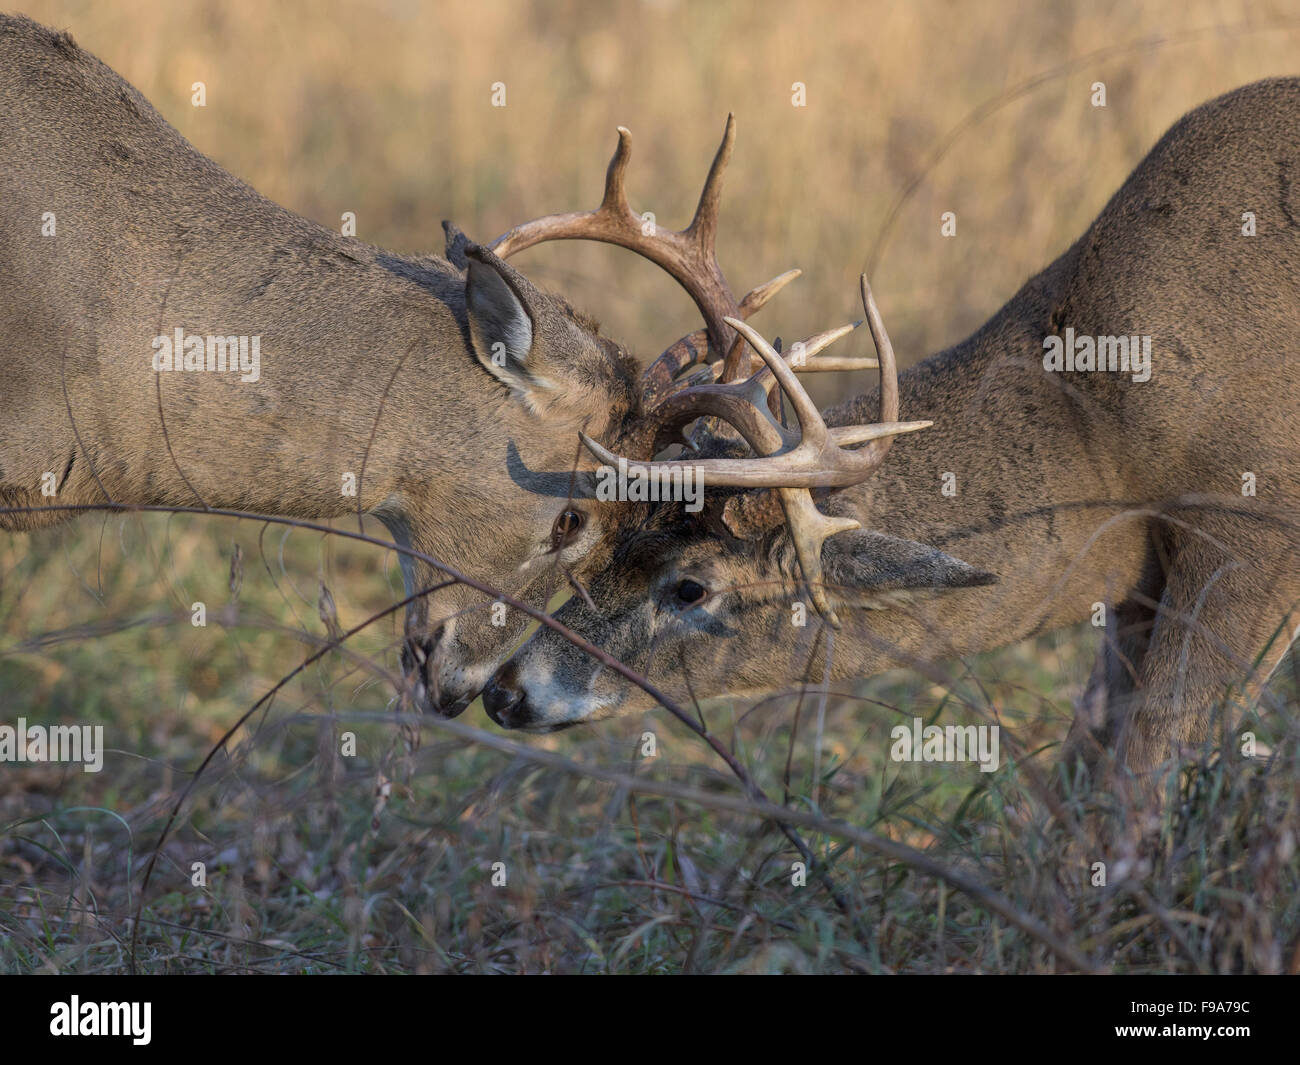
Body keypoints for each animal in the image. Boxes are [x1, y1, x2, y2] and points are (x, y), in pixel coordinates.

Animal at [483, 77, 1300, 779]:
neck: (1102, 423)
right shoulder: (1139, 584)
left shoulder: (1253, 529)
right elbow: (1091, 753)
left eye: (689, 587)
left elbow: (1147, 760)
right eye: (614, 544)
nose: (504, 689)